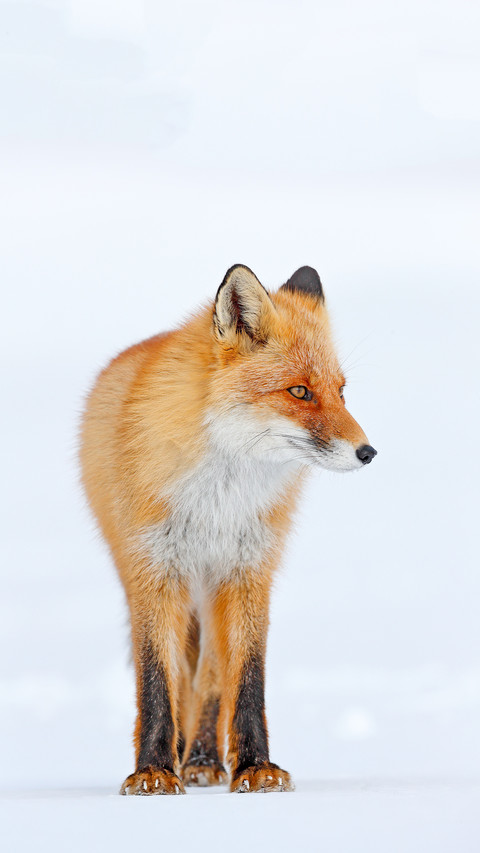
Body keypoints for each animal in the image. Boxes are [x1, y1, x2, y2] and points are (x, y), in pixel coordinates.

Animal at [80, 264, 376, 796]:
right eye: (299, 391)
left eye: (342, 392)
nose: (368, 452)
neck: (218, 501)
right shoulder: (154, 570)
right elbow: (157, 681)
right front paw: (152, 770)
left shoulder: (248, 571)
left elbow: (247, 679)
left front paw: (257, 767)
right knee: (179, 674)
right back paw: (182, 756)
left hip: (213, 589)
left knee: (212, 677)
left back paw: (201, 757)